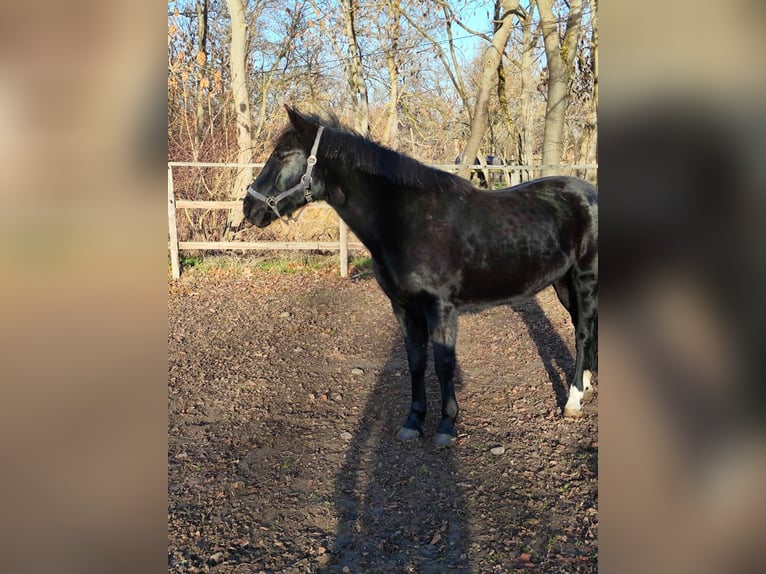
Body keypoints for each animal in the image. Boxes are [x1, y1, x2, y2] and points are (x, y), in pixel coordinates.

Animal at [243, 106, 598, 447]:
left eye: (282, 155)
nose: (249, 207)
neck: (408, 221)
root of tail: (589, 192)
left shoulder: (440, 306)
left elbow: (443, 363)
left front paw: (446, 425)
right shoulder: (403, 307)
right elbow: (415, 361)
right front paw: (413, 421)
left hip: (585, 279)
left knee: (582, 332)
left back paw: (573, 400)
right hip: (563, 284)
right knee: (585, 327)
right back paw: (587, 383)